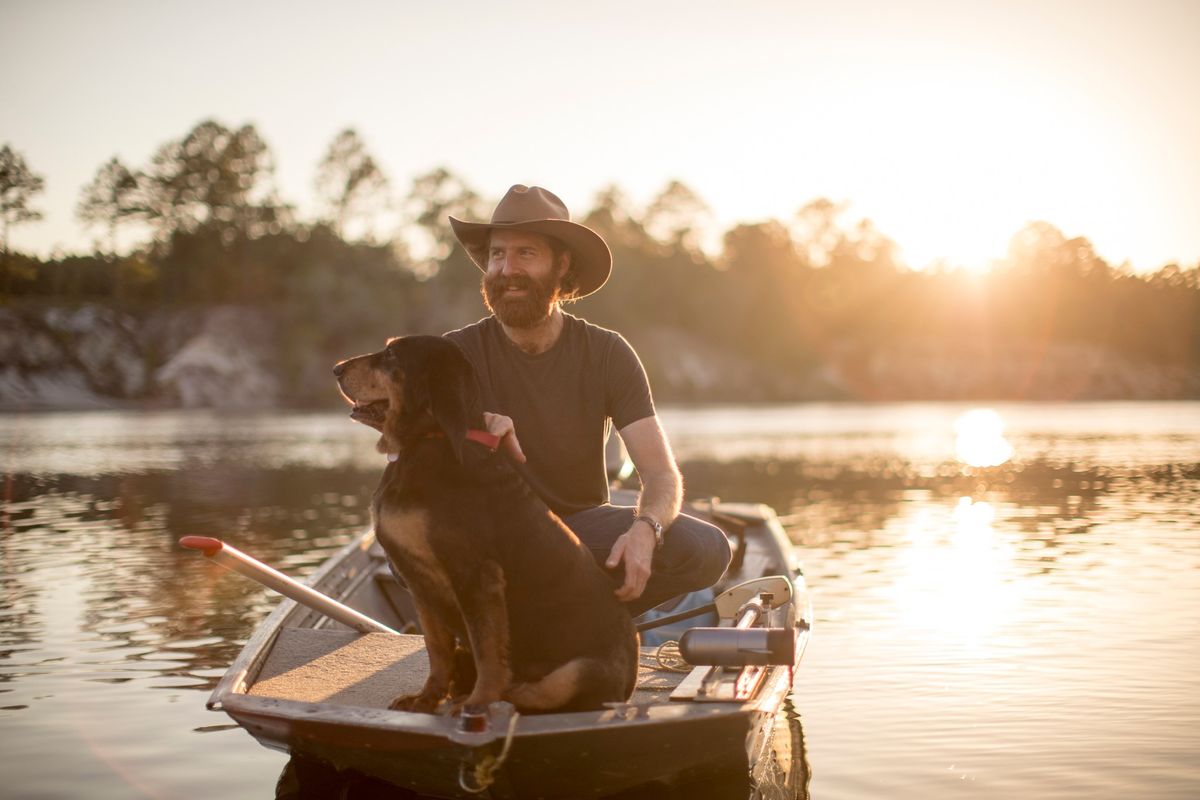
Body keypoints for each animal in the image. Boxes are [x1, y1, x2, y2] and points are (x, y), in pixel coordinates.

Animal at [333, 335, 643, 714]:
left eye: (391, 354)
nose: (336, 369)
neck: (429, 439)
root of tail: (629, 685)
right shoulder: (420, 583)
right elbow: (437, 650)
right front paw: (426, 698)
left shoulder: (476, 577)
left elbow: (488, 652)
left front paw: (478, 702)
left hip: (577, 672)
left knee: (536, 692)